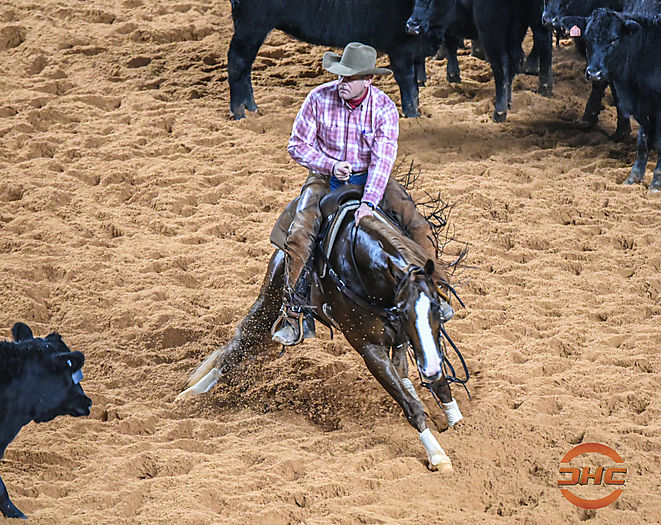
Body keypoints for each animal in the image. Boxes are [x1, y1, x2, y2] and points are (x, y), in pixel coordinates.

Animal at [177, 190, 467, 471]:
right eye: (404, 310)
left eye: (435, 307)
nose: (429, 369)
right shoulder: (370, 349)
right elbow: (410, 405)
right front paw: (438, 456)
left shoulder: (420, 339)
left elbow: (440, 385)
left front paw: (460, 425)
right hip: (270, 302)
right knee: (239, 344)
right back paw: (190, 395)